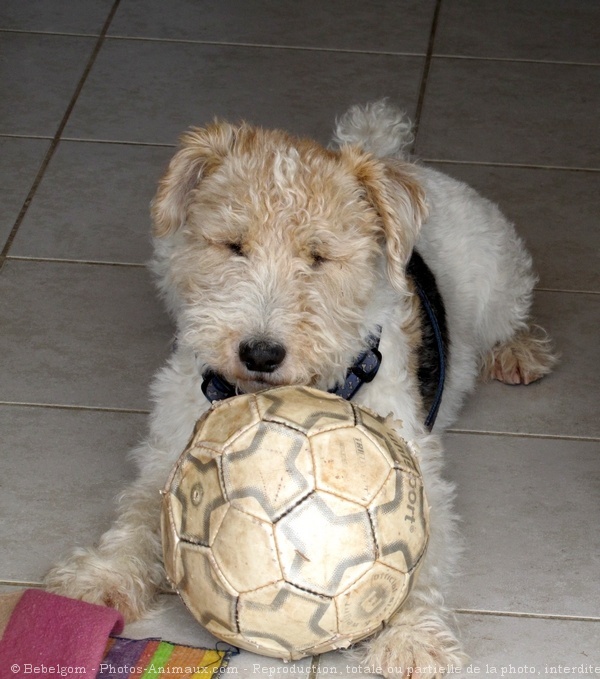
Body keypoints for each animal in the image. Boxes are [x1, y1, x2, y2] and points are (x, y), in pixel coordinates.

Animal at [47, 99, 556, 676]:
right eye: (233, 245)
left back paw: (518, 353)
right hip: (164, 249)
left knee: (509, 318)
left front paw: (413, 639)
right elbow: (134, 520)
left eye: (319, 256)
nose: (260, 353)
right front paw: (95, 581)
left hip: (498, 280)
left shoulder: (418, 475)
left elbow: (416, 561)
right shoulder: (164, 459)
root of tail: (395, 157)